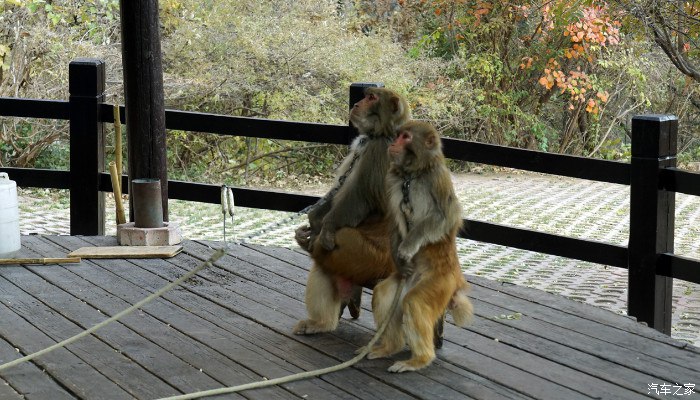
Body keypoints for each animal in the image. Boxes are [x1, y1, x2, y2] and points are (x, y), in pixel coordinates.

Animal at [292, 87, 410, 334]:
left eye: (371, 98)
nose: (356, 104)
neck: (383, 133)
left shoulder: (377, 150)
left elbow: (357, 199)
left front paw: (324, 227)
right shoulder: (362, 147)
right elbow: (336, 193)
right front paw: (313, 220)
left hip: (372, 258)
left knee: (340, 238)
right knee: (324, 266)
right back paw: (323, 322)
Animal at [364, 121, 474, 372]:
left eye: (405, 137)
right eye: (398, 135)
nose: (393, 143)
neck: (412, 175)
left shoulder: (437, 178)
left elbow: (447, 216)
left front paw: (408, 246)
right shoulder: (393, 180)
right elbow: (394, 220)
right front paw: (400, 258)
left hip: (440, 283)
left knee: (414, 302)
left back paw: (420, 359)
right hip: (407, 281)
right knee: (384, 294)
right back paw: (389, 347)